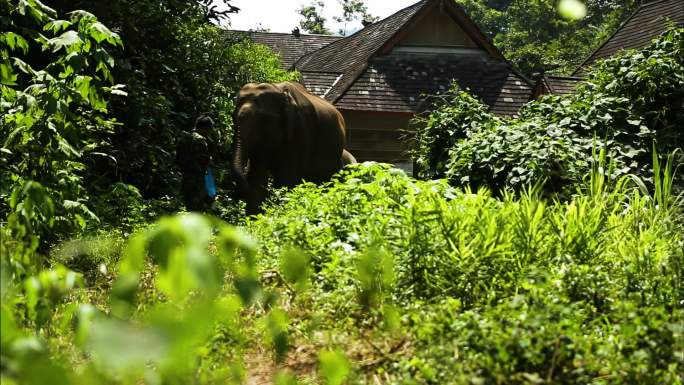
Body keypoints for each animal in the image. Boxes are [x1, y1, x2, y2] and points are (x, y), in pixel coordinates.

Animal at [231, 81, 356, 214]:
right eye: (233, 118)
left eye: (264, 119)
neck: (280, 91)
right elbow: (258, 177)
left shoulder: (303, 130)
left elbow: (288, 178)